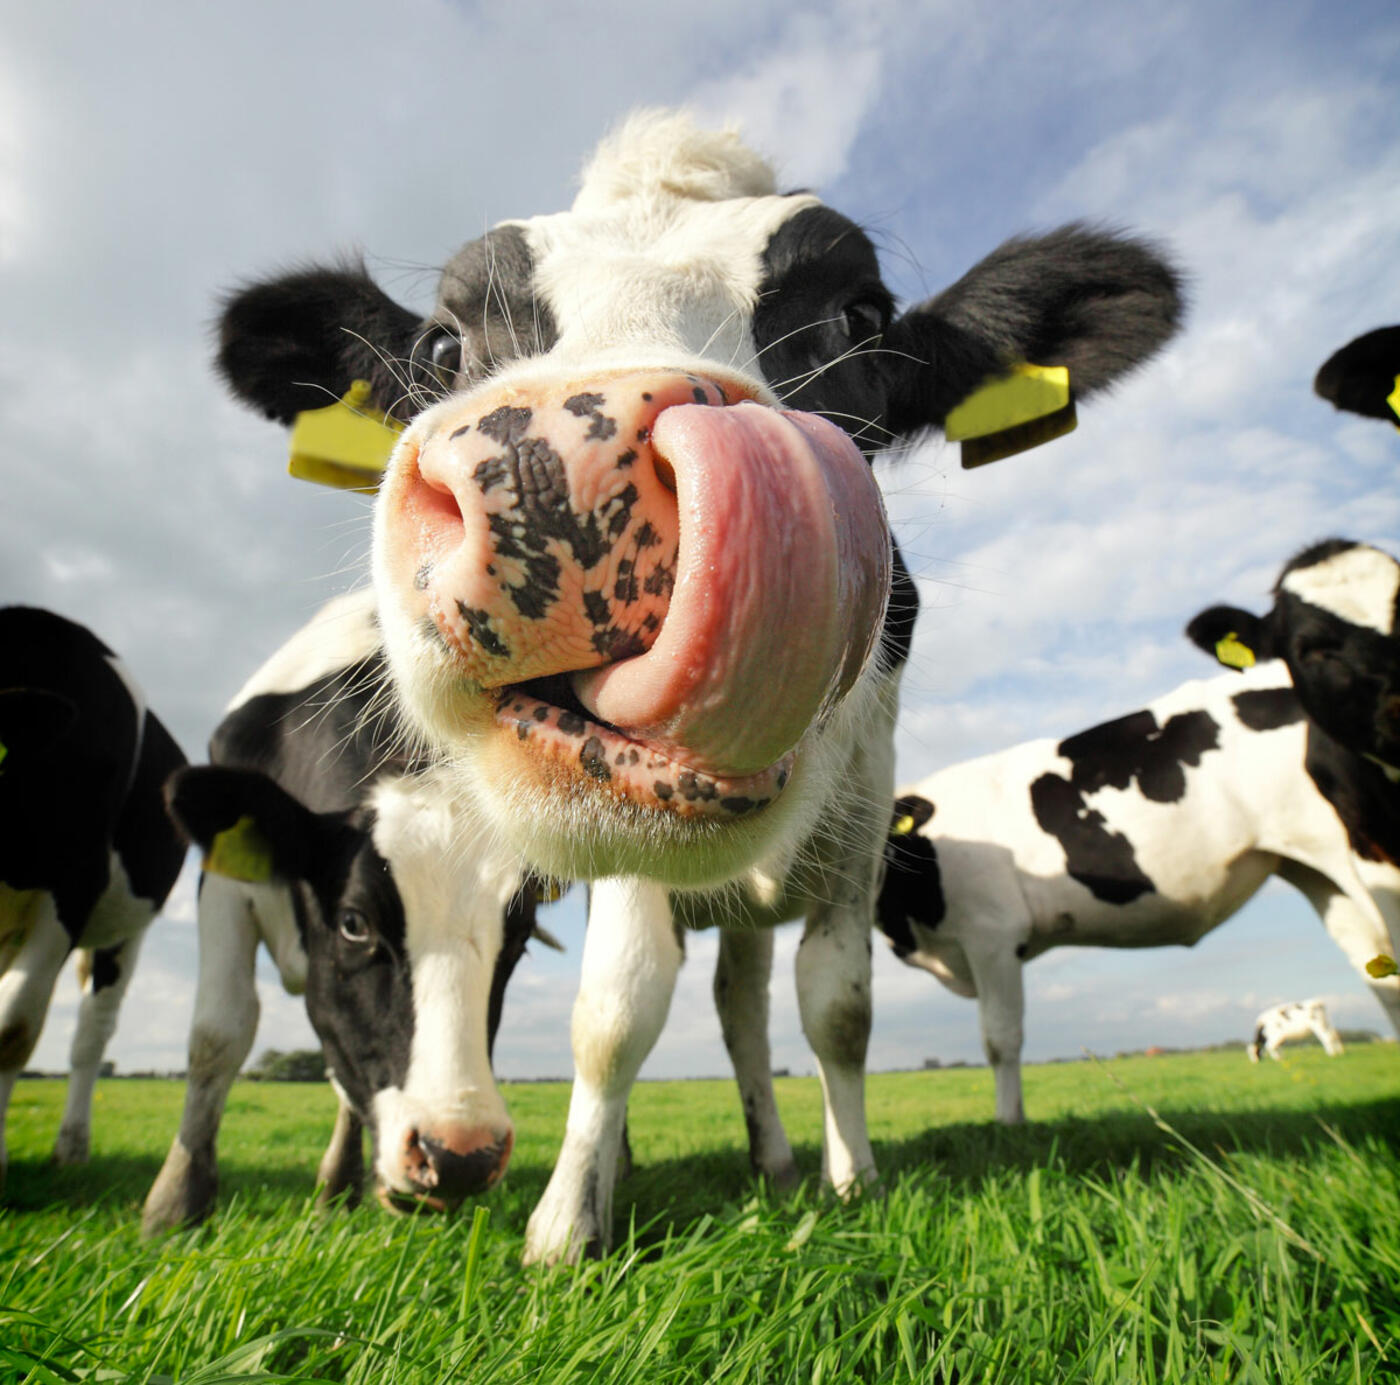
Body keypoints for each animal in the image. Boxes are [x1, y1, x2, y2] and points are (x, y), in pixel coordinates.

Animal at [142, 588, 554, 1237]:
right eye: (354, 923)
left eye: (519, 939)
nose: (459, 1156)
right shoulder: (224, 881)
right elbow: (219, 1032)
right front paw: (175, 1203)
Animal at [215, 113, 1181, 1260]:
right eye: (445, 347)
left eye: (859, 317)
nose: (560, 470)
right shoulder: (620, 832)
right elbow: (614, 1010)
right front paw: (567, 1222)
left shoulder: (864, 808)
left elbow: (835, 1006)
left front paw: (851, 1177)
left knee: (744, 1004)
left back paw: (773, 1157)